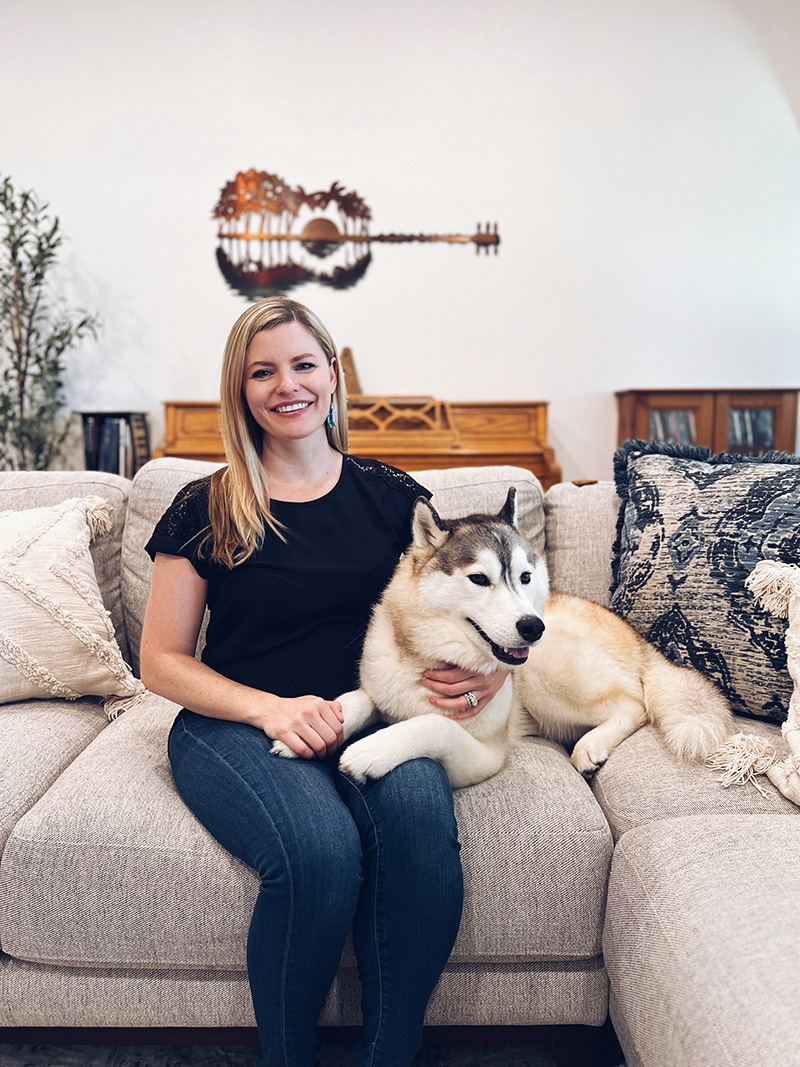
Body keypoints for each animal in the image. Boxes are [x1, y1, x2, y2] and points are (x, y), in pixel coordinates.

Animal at [273, 488, 738, 785]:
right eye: (480, 579)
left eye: (525, 576)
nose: (533, 627)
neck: (429, 659)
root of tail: (641, 641)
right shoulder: (383, 687)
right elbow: (353, 700)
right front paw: (306, 731)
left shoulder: (484, 757)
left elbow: (432, 726)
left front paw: (369, 751)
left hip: (547, 678)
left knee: (634, 705)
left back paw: (591, 745)